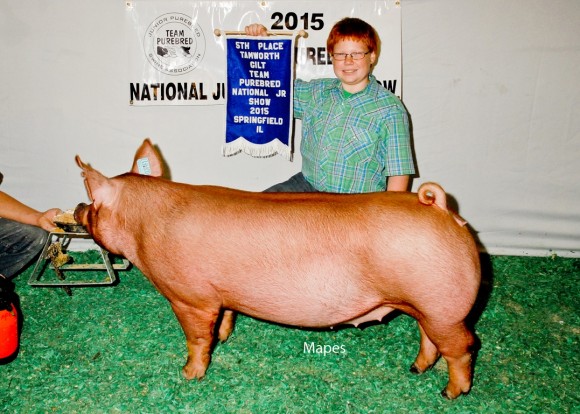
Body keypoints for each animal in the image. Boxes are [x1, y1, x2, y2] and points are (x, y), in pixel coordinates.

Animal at [73, 140, 480, 402]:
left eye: (92, 204)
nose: (77, 207)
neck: (145, 224)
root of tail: (439, 207)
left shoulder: (190, 298)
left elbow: (197, 338)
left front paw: (189, 374)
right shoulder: (222, 295)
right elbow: (226, 318)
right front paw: (225, 338)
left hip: (444, 307)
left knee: (463, 347)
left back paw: (449, 394)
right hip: (427, 306)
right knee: (430, 339)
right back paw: (415, 370)